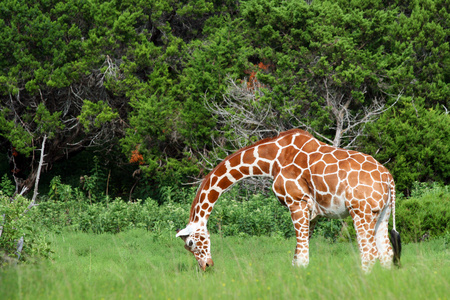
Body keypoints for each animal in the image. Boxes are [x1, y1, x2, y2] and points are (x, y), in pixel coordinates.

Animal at [176, 127, 400, 274]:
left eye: (191, 243)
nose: (206, 266)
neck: (272, 159)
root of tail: (388, 178)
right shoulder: (312, 211)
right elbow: (298, 256)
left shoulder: (296, 201)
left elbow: (302, 259)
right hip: (382, 213)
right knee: (387, 253)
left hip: (361, 211)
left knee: (370, 253)